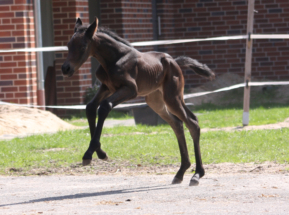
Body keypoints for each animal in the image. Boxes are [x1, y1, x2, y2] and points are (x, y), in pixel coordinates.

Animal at [61, 18, 214, 186]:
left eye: (82, 46)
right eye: (68, 45)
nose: (65, 69)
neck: (114, 59)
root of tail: (175, 62)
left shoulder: (130, 89)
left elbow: (104, 107)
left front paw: (89, 154)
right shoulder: (106, 87)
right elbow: (90, 107)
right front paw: (100, 152)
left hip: (172, 97)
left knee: (192, 122)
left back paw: (197, 174)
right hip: (156, 101)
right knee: (177, 124)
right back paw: (180, 173)